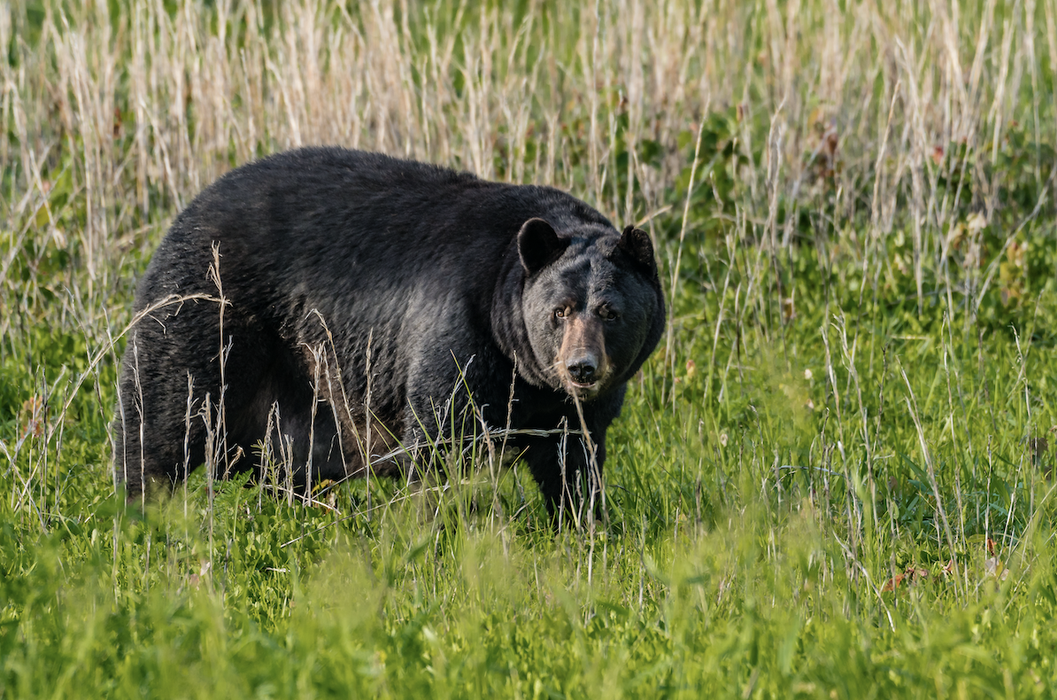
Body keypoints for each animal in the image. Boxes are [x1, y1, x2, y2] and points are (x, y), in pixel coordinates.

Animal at [113, 147, 665, 522]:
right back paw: (139, 507)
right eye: (559, 311)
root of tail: (189, 208)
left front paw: (585, 523)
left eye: (610, 311)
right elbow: (441, 434)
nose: (581, 368)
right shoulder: (462, 331)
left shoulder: (572, 406)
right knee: (165, 408)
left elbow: (574, 458)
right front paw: (441, 524)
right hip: (210, 307)